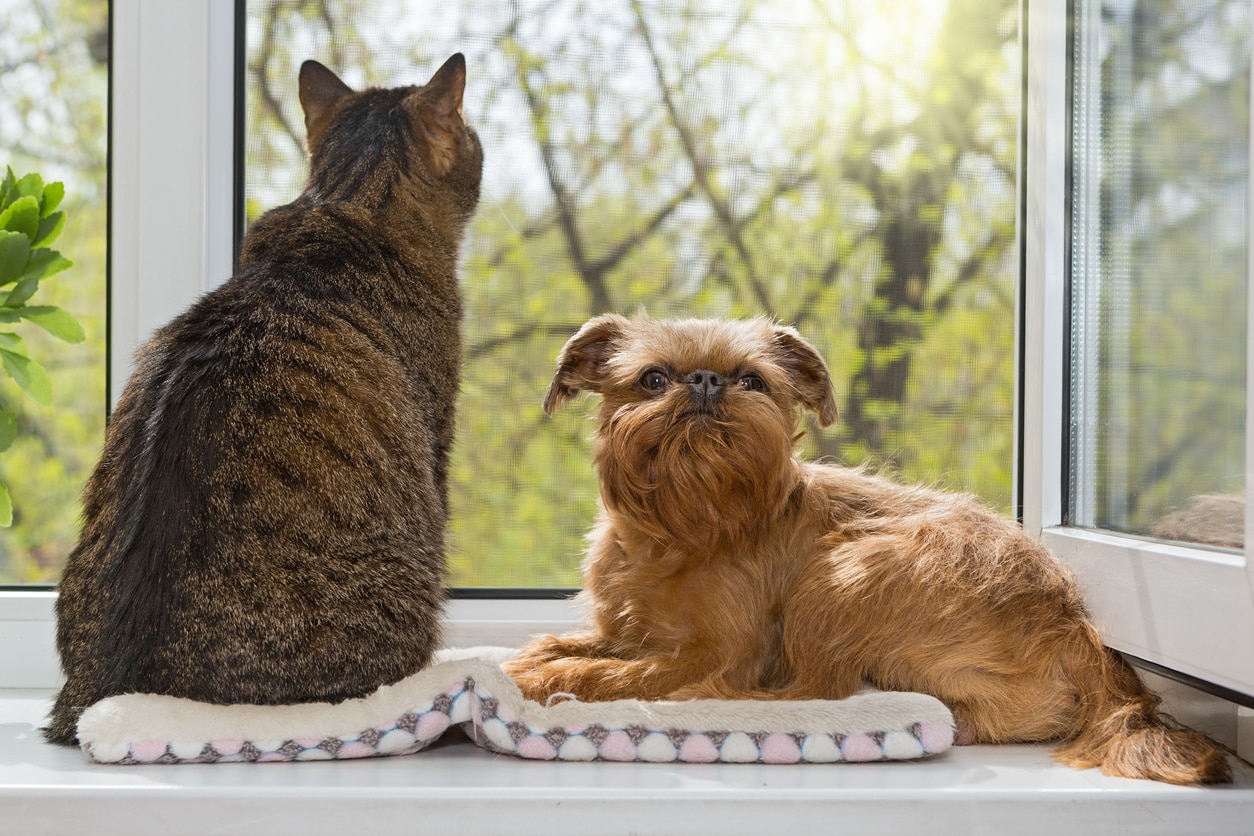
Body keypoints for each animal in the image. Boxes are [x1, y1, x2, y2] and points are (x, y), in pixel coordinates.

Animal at [504, 313, 1228, 787]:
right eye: (652, 380)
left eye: (752, 381)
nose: (706, 381)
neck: (683, 527)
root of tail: (1084, 637)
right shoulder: (625, 631)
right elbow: (568, 645)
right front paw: (532, 660)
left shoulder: (719, 653)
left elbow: (613, 673)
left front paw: (548, 683)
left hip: (841, 570)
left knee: (814, 692)